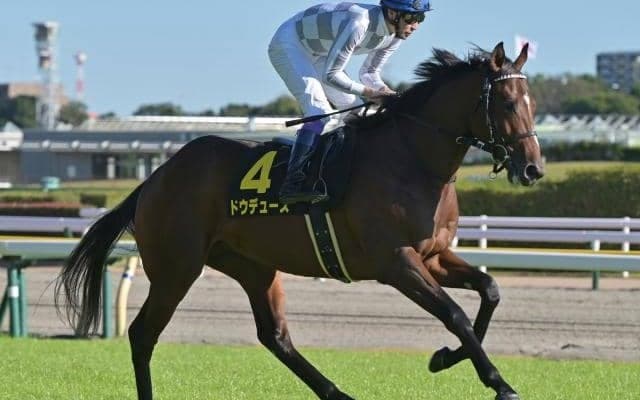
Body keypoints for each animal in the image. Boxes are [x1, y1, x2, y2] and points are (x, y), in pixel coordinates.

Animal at [56, 42, 543, 400]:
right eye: (505, 102)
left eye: (531, 103)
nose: (533, 168)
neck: (412, 160)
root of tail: (155, 177)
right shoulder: (395, 261)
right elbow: (455, 313)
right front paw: (499, 383)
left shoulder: (434, 255)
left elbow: (490, 291)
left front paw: (445, 358)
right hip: (177, 266)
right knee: (142, 334)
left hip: (252, 266)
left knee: (275, 336)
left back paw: (337, 393)